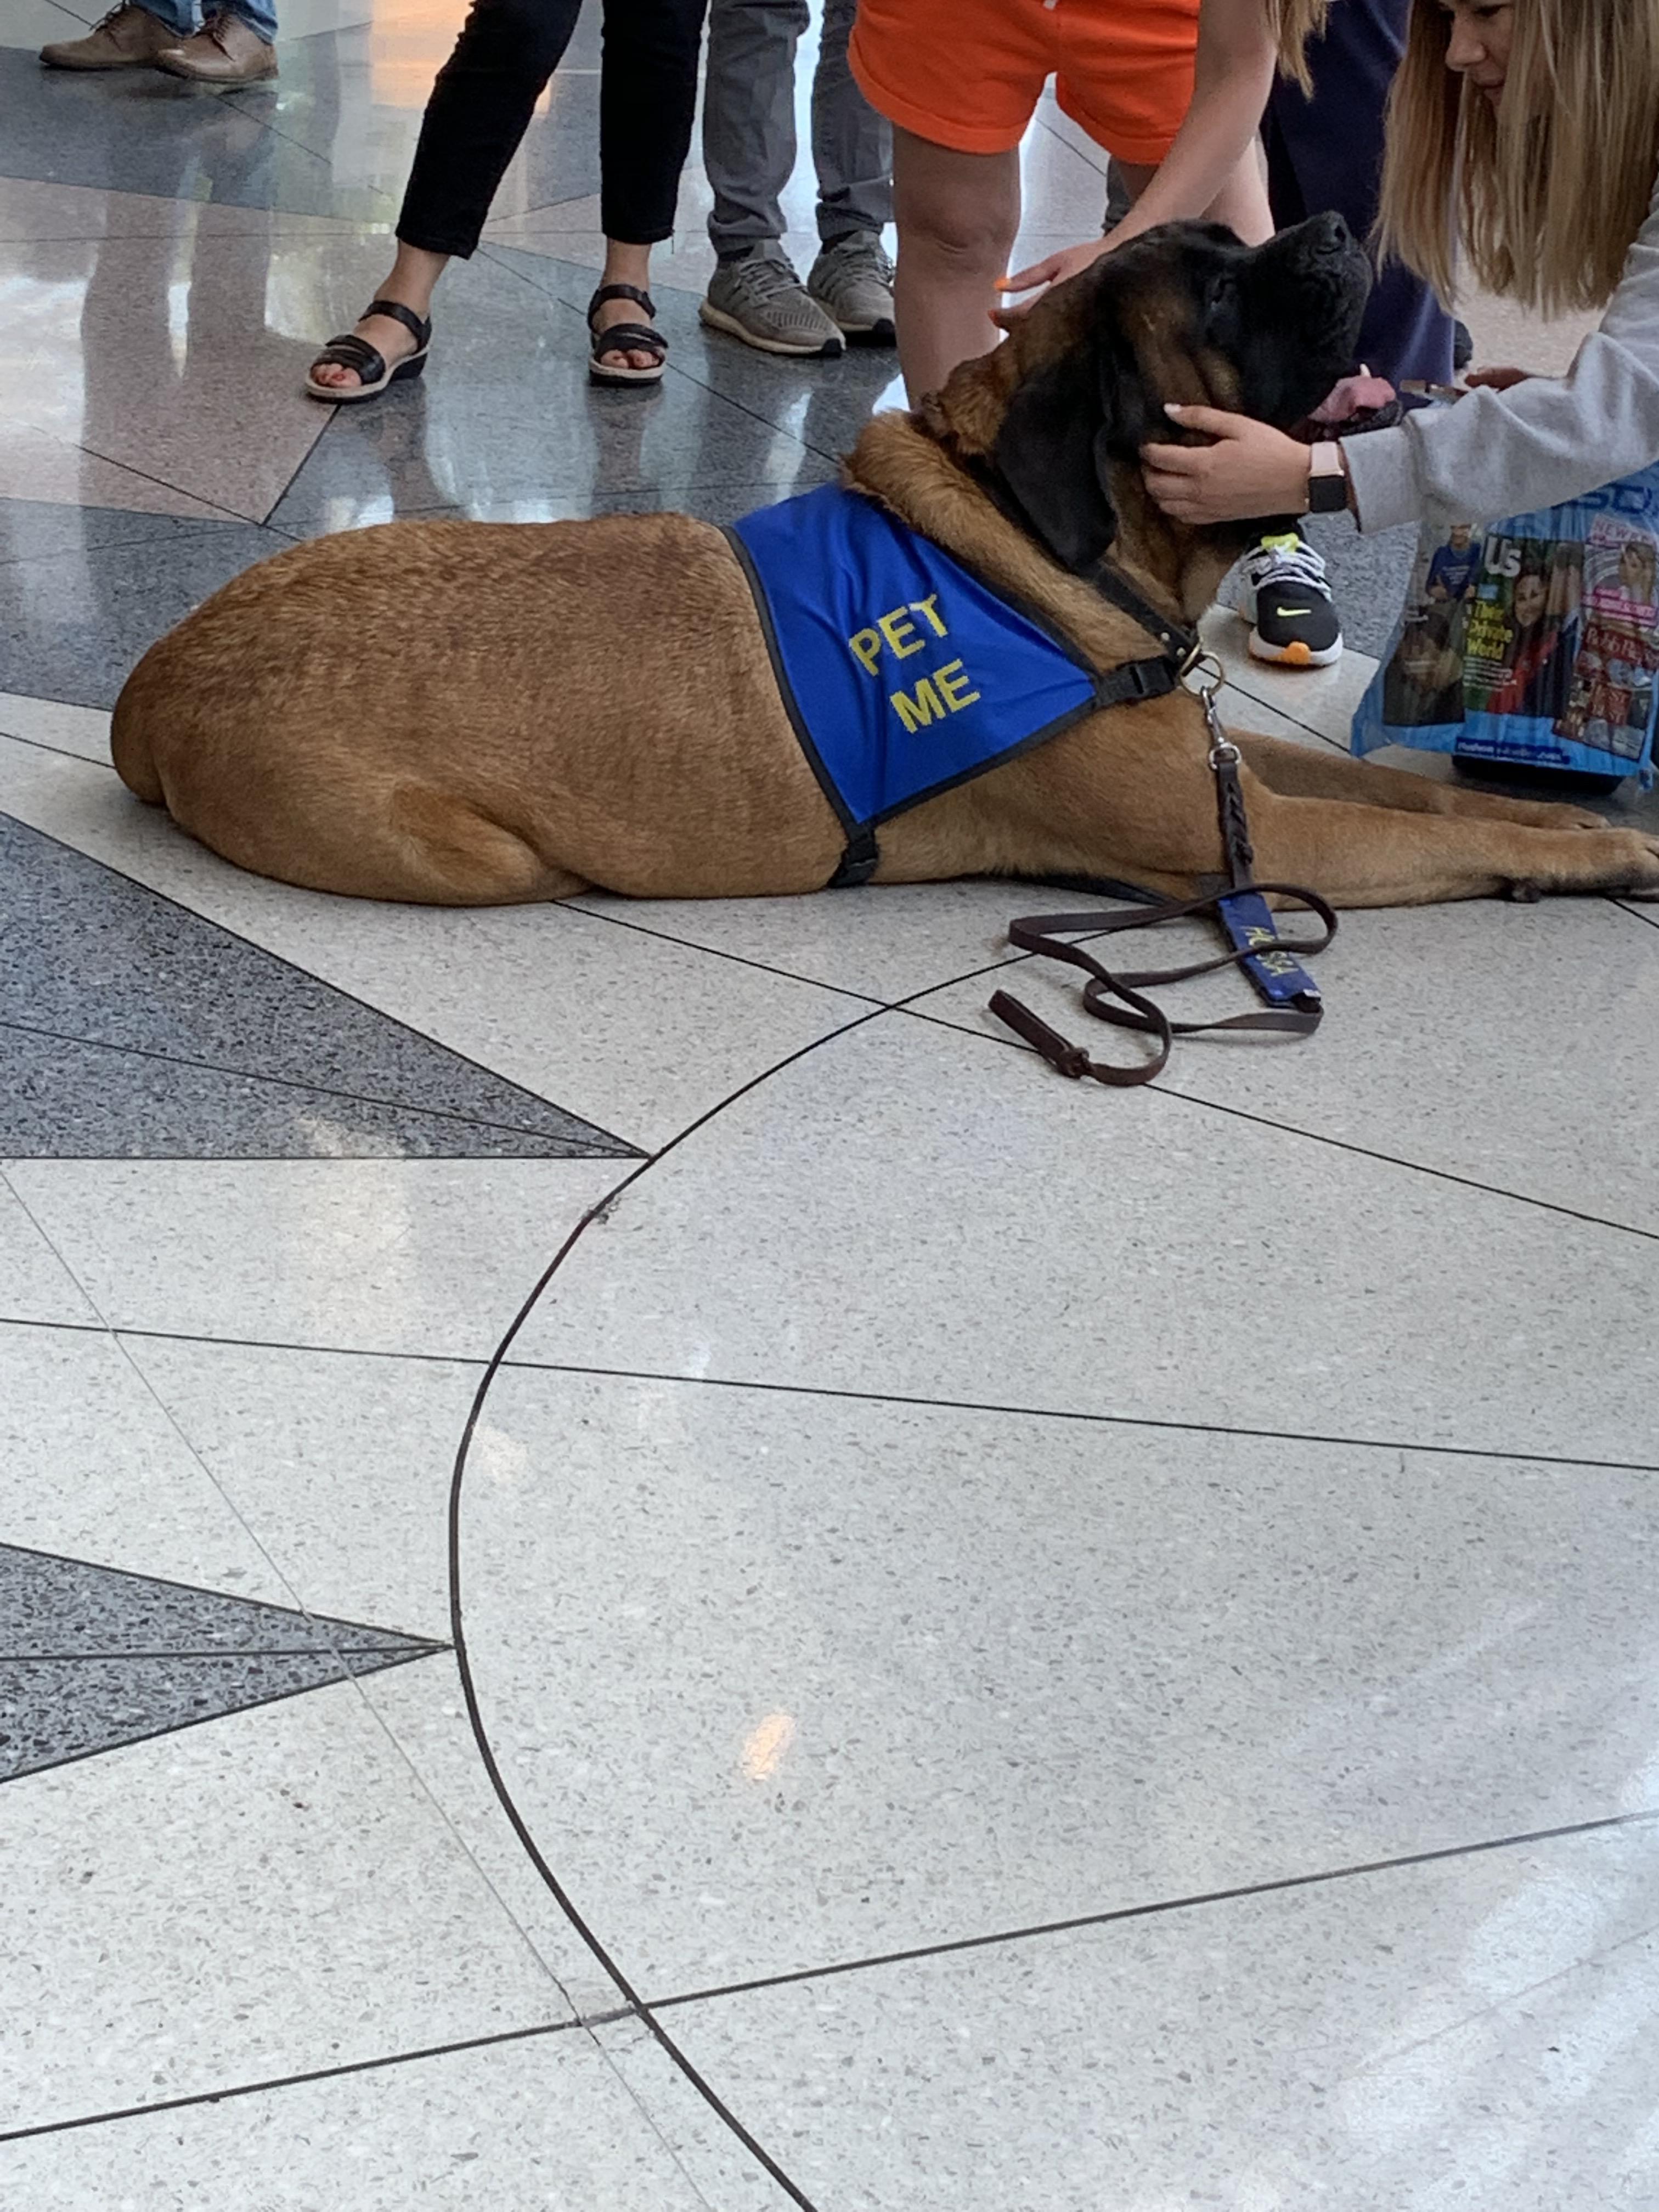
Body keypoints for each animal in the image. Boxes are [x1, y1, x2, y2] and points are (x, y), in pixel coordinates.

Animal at [110, 220, 1659, 911]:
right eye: (1222, 289)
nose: (1339, 226)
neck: (1026, 535)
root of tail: (150, 687)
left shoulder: (1236, 772)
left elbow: (1416, 794)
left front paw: (1555, 824)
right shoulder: (1256, 844)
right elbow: (1423, 832)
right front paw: (1590, 853)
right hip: (485, 861)